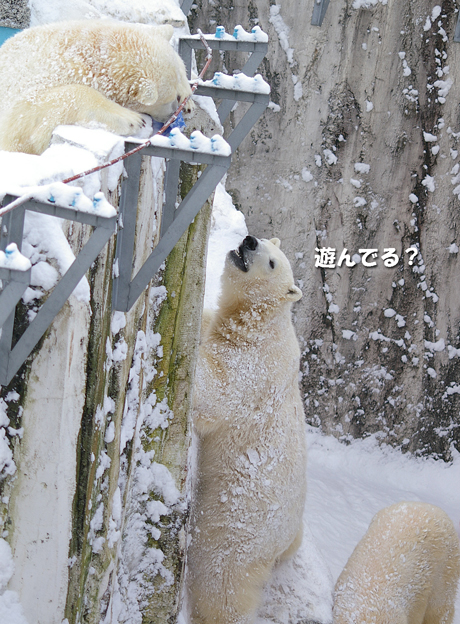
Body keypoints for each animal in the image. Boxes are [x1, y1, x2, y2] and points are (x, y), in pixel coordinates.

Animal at [0, 19, 192, 154]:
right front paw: (132, 119)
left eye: (176, 95)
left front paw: (187, 97)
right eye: (168, 100)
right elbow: (21, 116)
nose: (172, 114)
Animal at [185, 235, 308, 624]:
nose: (248, 241)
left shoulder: (253, 366)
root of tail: (278, 547)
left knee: (221, 586)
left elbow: (217, 391)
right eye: (265, 239)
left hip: (235, 532)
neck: (262, 322)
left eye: (271, 263)